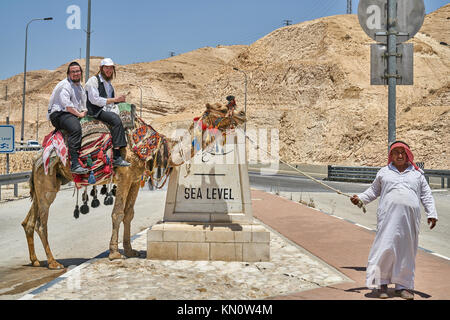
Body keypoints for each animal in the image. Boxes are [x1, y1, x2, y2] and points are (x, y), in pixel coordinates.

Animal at [21, 102, 246, 268]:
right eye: (222, 108)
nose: (243, 113)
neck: (155, 148)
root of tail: (36, 158)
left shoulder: (136, 180)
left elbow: (128, 214)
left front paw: (130, 250)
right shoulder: (124, 176)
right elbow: (117, 213)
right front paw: (114, 253)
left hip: (46, 183)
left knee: (29, 221)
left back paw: (35, 260)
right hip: (47, 181)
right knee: (41, 222)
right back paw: (53, 262)